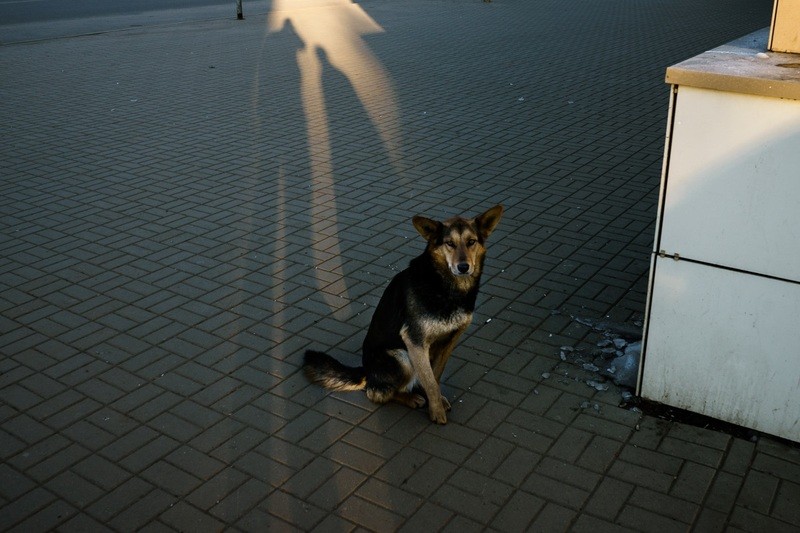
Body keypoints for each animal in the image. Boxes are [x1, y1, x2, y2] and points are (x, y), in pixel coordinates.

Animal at [304, 204, 504, 424]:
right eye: (449, 244)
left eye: (471, 242)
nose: (463, 267)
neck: (445, 287)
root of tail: (367, 371)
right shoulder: (414, 342)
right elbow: (430, 382)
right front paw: (436, 412)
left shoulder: (450, 341)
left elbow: (435, 376)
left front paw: (437, 400)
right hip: (402, 357)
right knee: (376, 393)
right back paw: (410, 398)